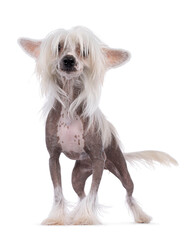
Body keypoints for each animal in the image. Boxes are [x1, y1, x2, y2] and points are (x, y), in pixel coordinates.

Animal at [18, 26, 177, 225]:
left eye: (85, 51)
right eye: (59, 47)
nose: (68, 60)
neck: (69, 107)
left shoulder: (97, 159)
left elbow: (94, 192)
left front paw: (86, 217)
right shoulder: (53, 158)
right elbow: (58, 192)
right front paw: (57, 217)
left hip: (120, 168)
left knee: (129, 192)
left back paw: (141, 216)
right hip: (77, 176)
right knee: (81, 194)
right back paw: (76, 214)